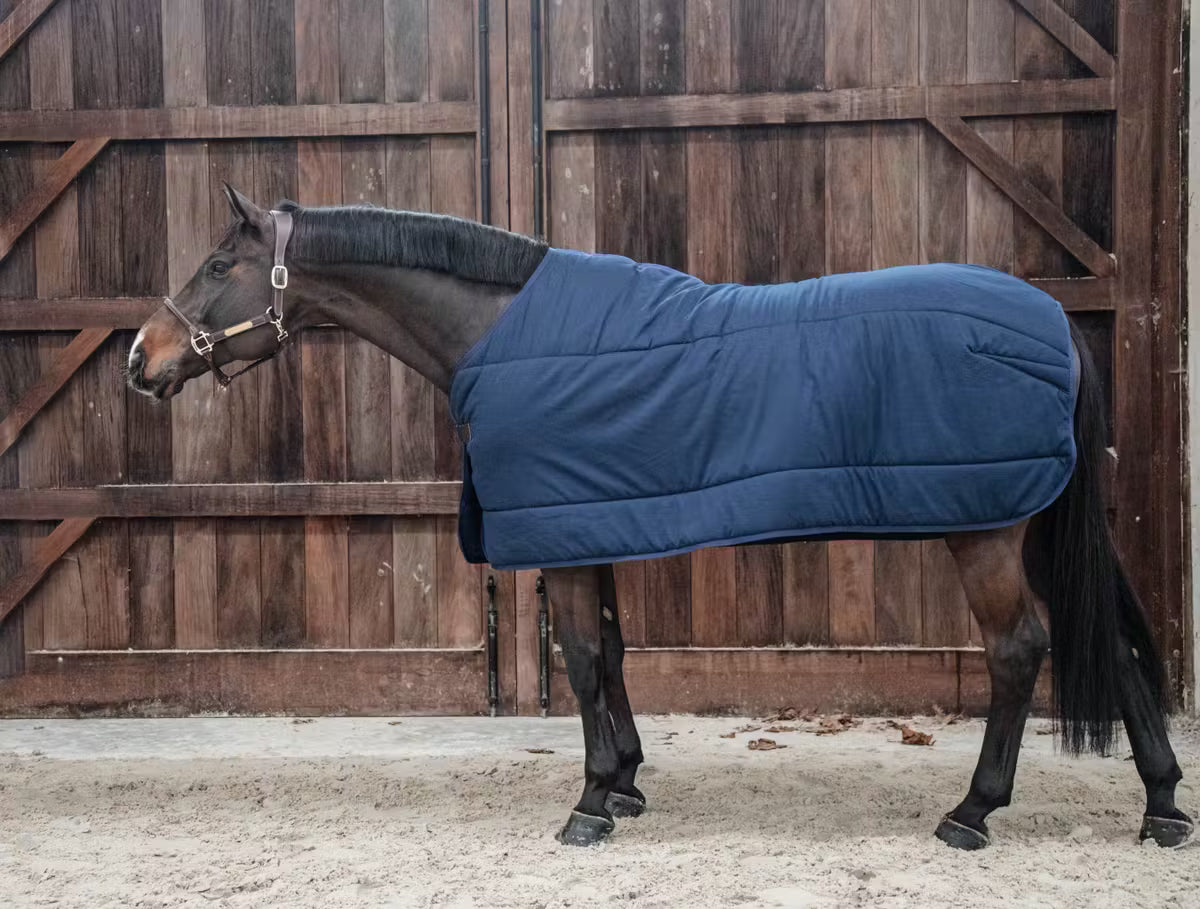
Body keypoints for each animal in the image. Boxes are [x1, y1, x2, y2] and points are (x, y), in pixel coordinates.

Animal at [127, 185, 1192, 851]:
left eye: (218, 263)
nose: (141, 357)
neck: (502, 332)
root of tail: (1054, 327)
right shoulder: (591, 520)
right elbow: (610, 649)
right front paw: (629, 781)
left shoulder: (561, 534)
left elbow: (580, 658)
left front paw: (591, 800)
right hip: (1033, 521)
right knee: (1115, 644)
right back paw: (1162, 807)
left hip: (986, 533)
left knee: (1020, 650)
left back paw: (973, 810)